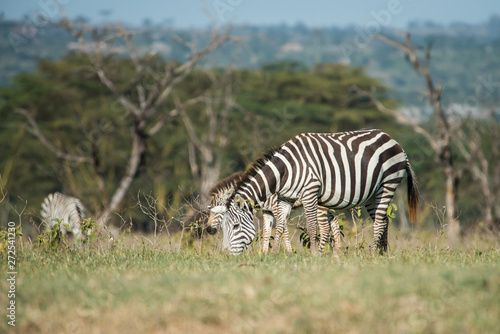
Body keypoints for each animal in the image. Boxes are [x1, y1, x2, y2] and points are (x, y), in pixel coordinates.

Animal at [206, 172, 340, 253]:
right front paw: (264, 254)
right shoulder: (267, 210)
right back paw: (337, 254)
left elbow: (284, 231)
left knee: (325, 226)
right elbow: (266, 232)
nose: (208, 230)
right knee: (334, 222)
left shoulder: (277, 208)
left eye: (216, 212)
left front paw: (289, 253)